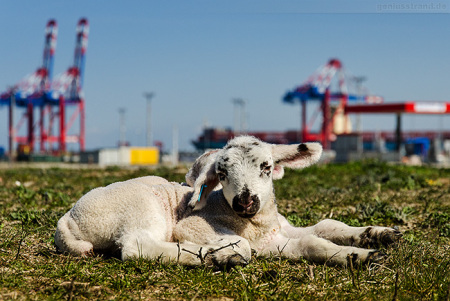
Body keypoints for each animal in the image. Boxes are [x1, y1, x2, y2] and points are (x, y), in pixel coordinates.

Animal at [54, 135, 402, 266]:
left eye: (266, 167)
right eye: (221, 174)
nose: (245, 202)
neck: (258, 225)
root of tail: (67, 220)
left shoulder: (281, 231)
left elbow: (324, 228)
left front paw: (375, 238)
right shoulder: (191, 226)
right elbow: (309, 244)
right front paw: (360, 256)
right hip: (140, 208)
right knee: (137, 247)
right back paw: (215, 257)